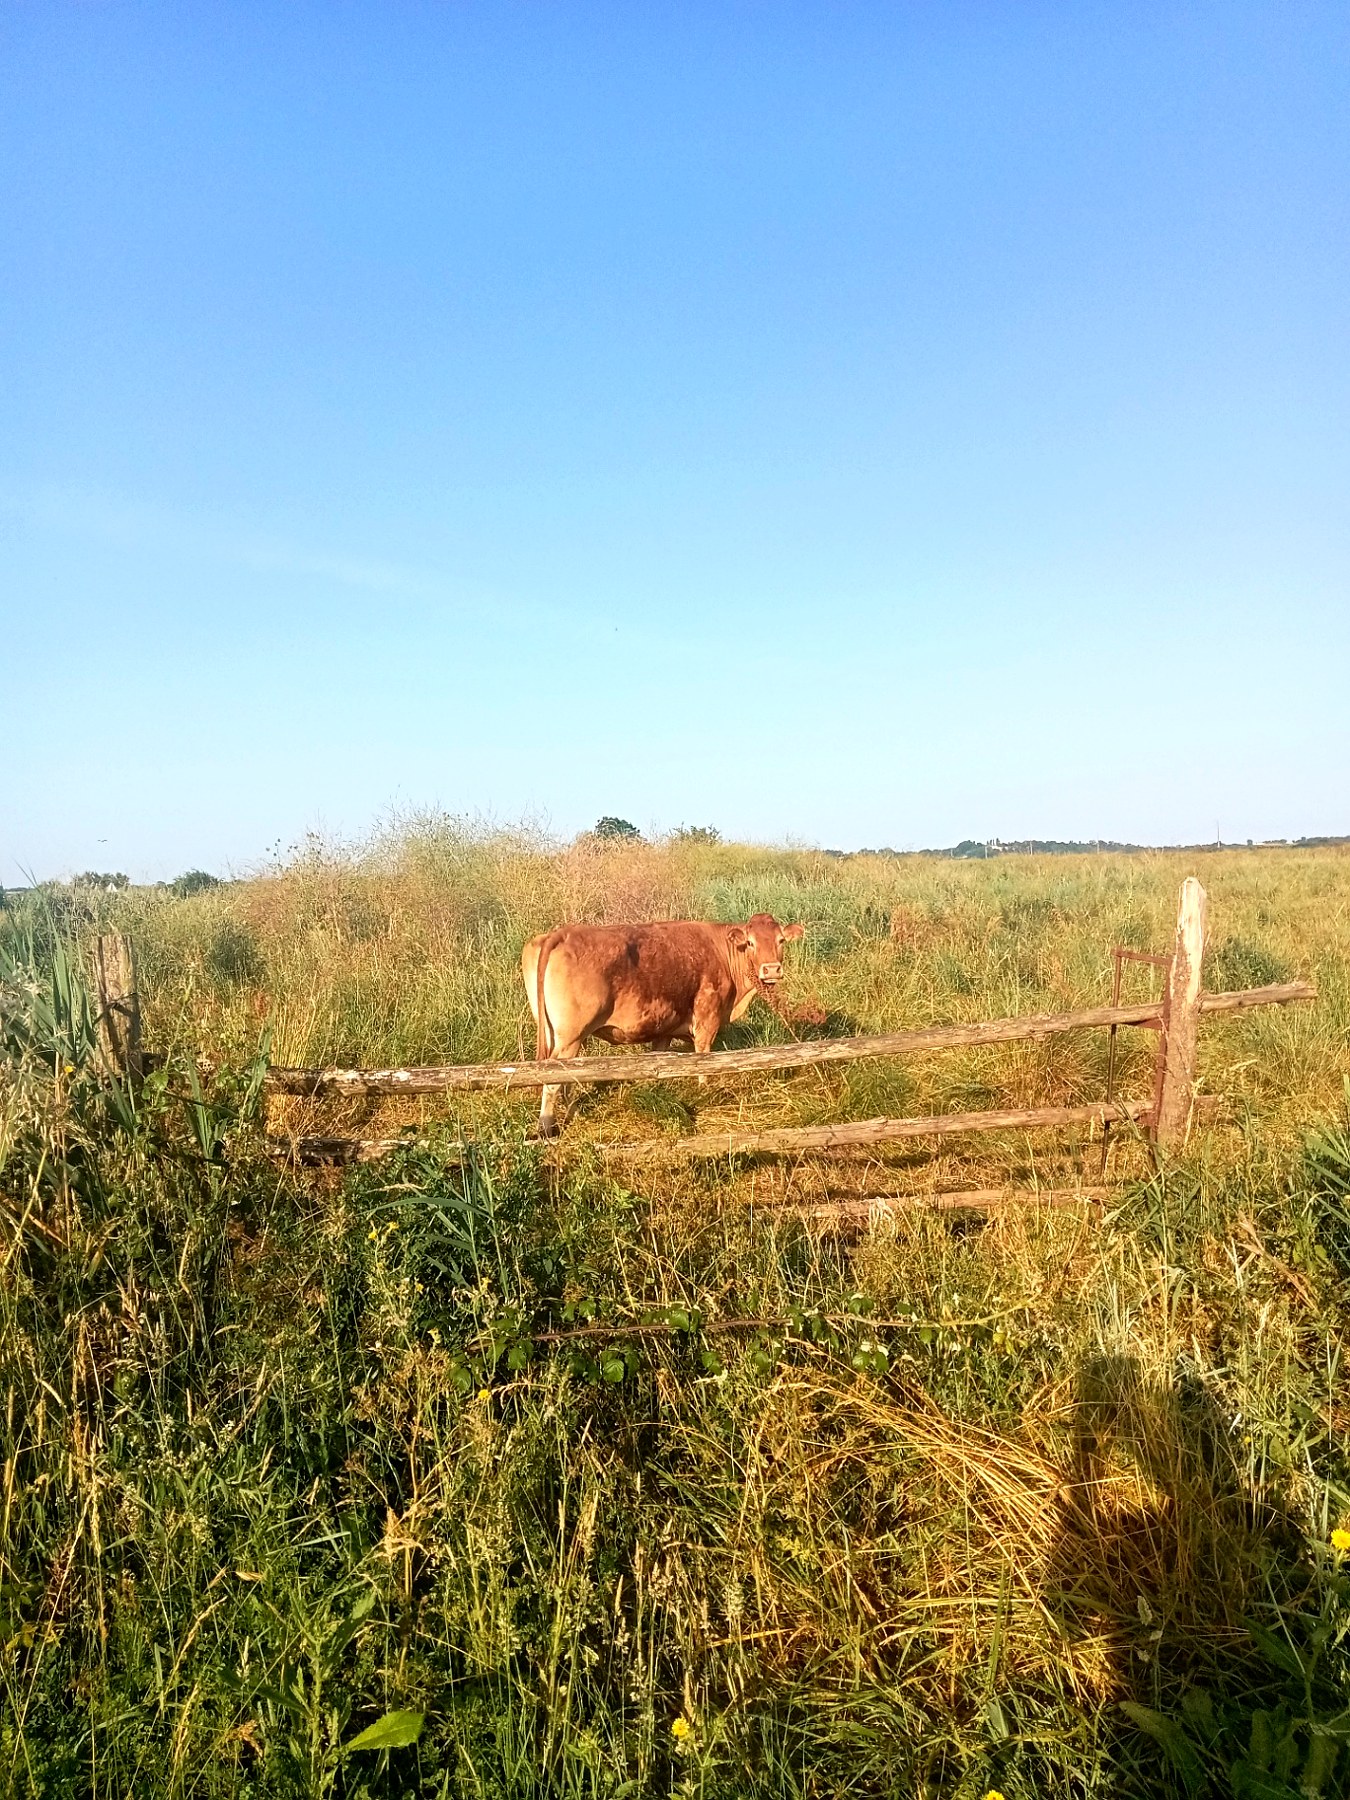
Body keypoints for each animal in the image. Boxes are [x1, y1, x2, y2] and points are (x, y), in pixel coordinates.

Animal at [520, 913, 805, 1136]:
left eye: (780, 940)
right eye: (751, 942)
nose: (771, 969)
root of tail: (563, 933)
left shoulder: (664, 1030)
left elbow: (658, 1062)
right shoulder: (707, 1019)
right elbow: (703, 1060)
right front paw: (704, 1092)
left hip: (559, 1035)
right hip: (570, 1036)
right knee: (553, 1080)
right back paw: (546, 1127)